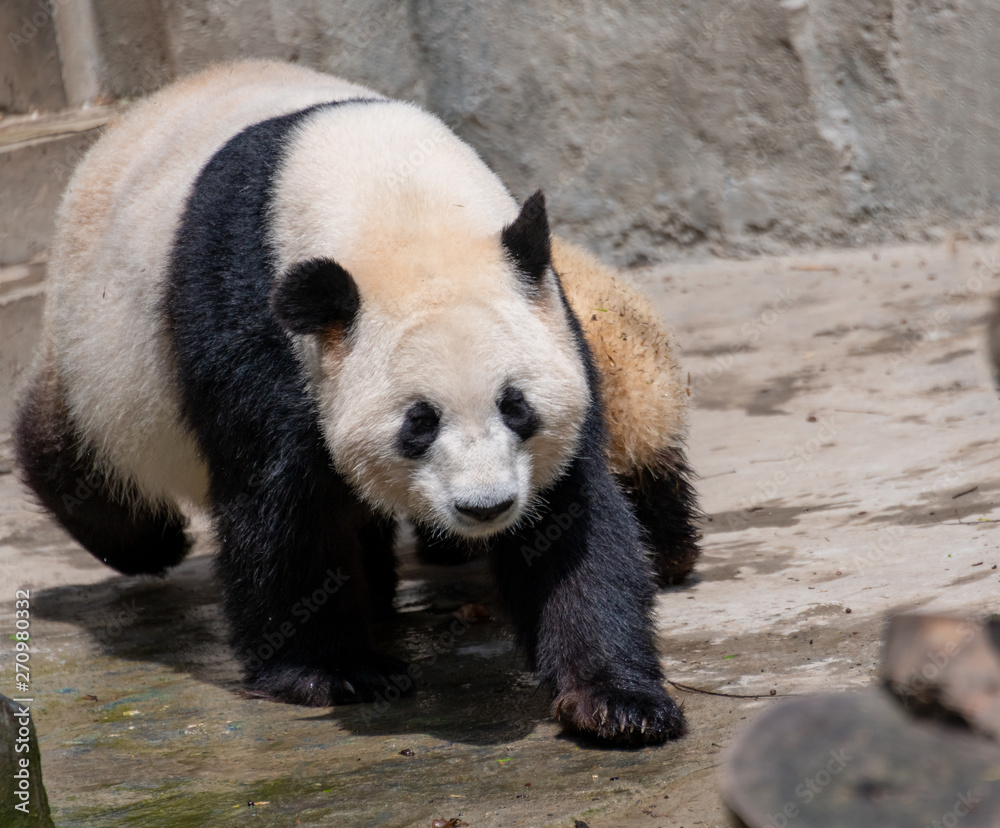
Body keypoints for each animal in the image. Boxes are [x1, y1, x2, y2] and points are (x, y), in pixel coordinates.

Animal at [14, 61, 698, 746]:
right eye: (419, 423)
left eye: (517, 408)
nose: (486, 508)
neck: (398, 204)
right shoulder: (261, 327)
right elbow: (282, 504)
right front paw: (333, 672)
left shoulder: (553, 322)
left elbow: (571, 514)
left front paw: (616, 702)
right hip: (106, 353)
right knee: (77, 450)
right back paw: (148, 540)